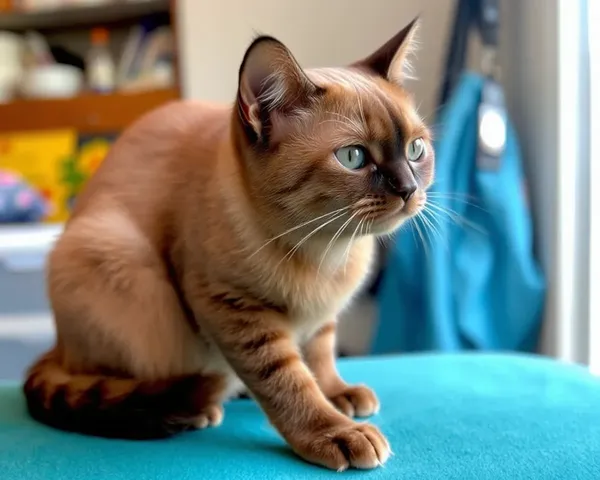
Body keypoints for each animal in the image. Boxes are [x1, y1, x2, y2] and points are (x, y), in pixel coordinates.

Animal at [24, 16, 432, 470]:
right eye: (354, 158)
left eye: (416, 149)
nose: (409, 189)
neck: (328, 252)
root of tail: (56, 347)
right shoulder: (232, 306)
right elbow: (289, 381)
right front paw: (335, 432)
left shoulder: (321, 317)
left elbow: (321, 357)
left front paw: (338, 393)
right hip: (123, 269)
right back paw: (199, 406)